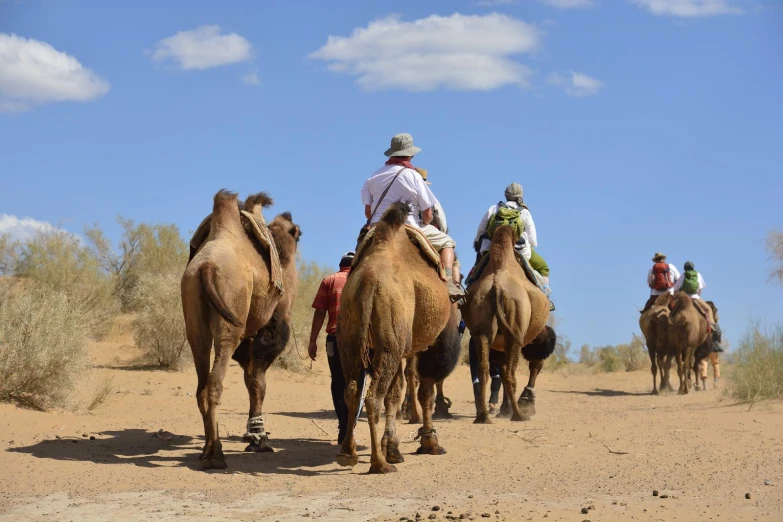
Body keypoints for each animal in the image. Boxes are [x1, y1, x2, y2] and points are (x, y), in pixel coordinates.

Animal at [182, 189, 302, 470]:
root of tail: (206, 266)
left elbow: (250, 378)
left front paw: (254, 437)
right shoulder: (274, 321)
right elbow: (258, 381)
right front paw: (260, 440)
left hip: (195, 319)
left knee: (201, 384)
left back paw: (206, 450)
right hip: (229, 323)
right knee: (215, 383)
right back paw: (216, 455)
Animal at [336, 200, 454, 472]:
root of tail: (368, 280)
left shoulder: (400, 347)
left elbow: (396, 391)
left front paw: (393, 447)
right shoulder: (425, 345)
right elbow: (425, 391)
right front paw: (429, 443)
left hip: (351, 336)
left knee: (352, 391)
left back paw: (348, 453)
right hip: (388, 343)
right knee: (373, 397)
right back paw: (379, 464)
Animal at [466, 224, 552, 422]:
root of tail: (497, 287)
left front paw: (505, 409)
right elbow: (534, 363)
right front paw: (525, 403)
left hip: (482, 321)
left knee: (484, 369)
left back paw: (483, 416)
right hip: (515, 327)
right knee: (510, 373)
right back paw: (519, 415)